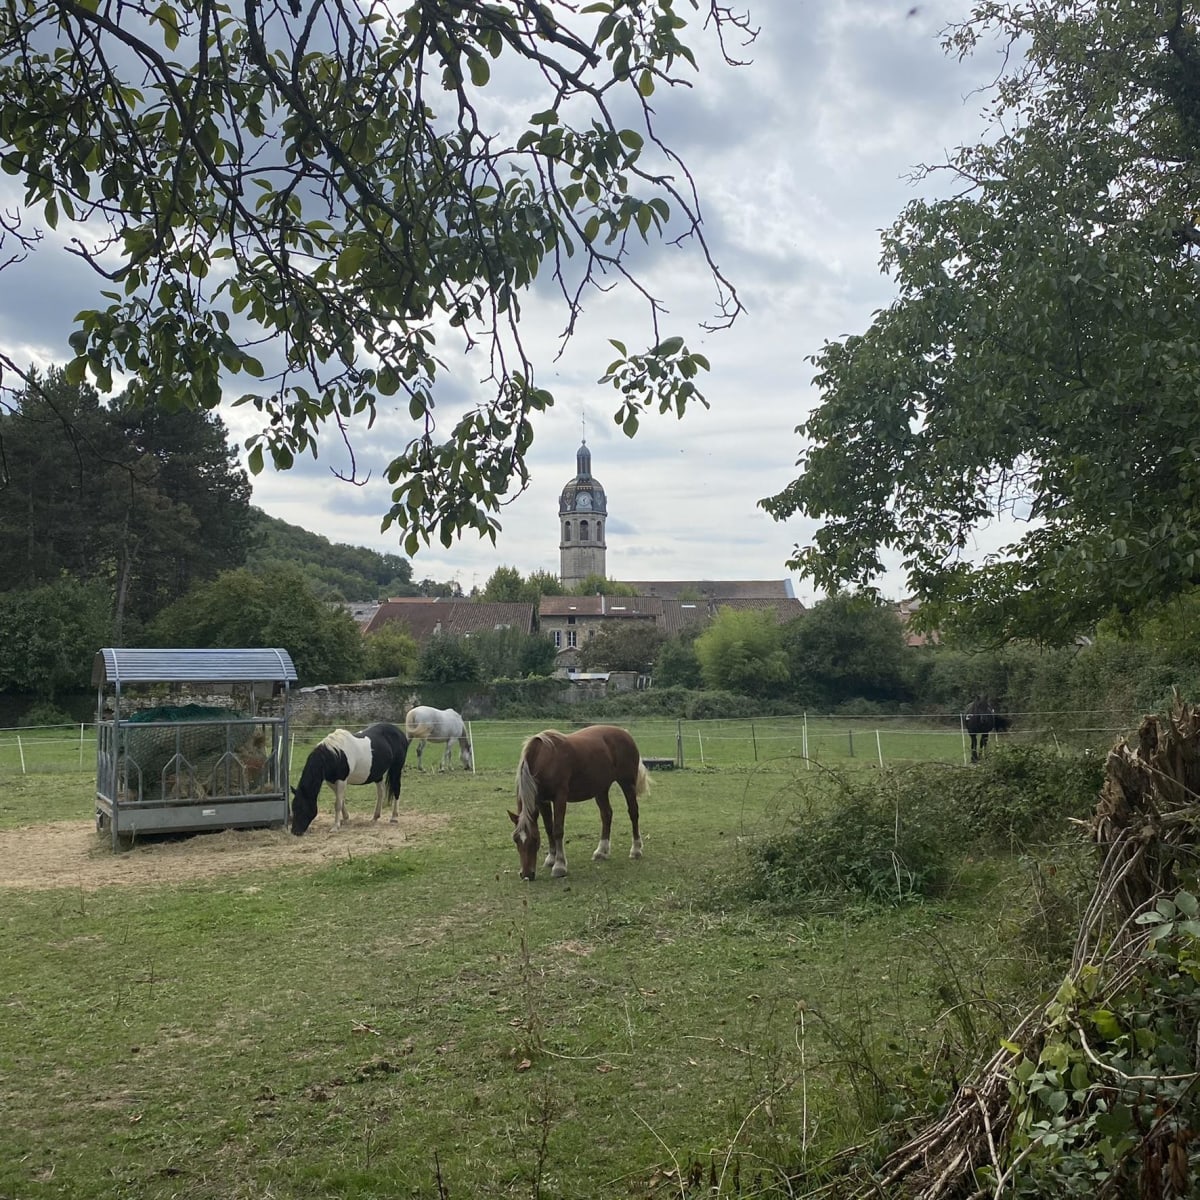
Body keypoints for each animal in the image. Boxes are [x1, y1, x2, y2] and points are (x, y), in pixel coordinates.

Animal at [508, 724, 648, 881]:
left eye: (535, 840)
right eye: (515, 839)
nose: (526, 875)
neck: (543, 758)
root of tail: (625, 733)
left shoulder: (560, 797)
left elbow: (558, 830)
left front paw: (559, 866)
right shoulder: (542, 801)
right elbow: (549, 828)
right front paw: (551, 858)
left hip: (627, 783)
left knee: (633, 812)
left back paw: (636, 850)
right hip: (601, 788)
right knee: (606, 815)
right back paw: (601, 851)